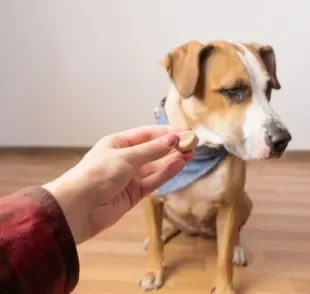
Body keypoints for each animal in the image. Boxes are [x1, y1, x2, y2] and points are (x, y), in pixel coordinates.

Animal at [139, 39, 292, 294]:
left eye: (269, 90)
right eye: (233, 91)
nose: (282, 140)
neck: (199, 150)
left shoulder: (229, 206)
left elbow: (224, 254)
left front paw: (225, 286)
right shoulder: (151, 199)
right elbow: (155, 243)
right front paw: (153, 271)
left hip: (244, 201)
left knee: (235, 235)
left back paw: (238, 250)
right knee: (164, 228)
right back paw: (160, 235)